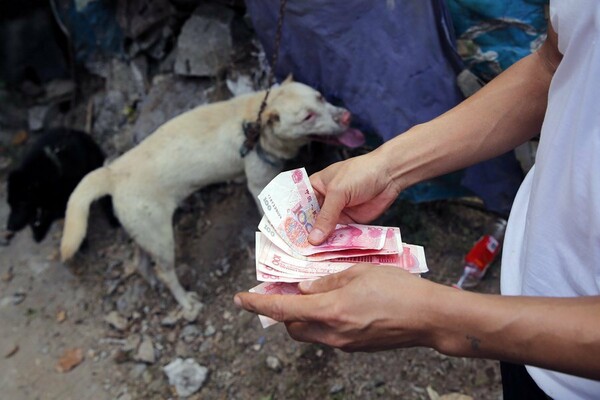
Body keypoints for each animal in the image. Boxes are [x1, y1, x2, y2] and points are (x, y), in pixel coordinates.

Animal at [58, 77, 364, 316]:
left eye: (321, 97)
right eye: (307, 117)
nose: (347, 116)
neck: (255, 120)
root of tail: (112, 172)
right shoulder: (257, 182)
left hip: (144, 232)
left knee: (141, 260)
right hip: (160, 235)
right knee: (165, 271)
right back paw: (186, 304)